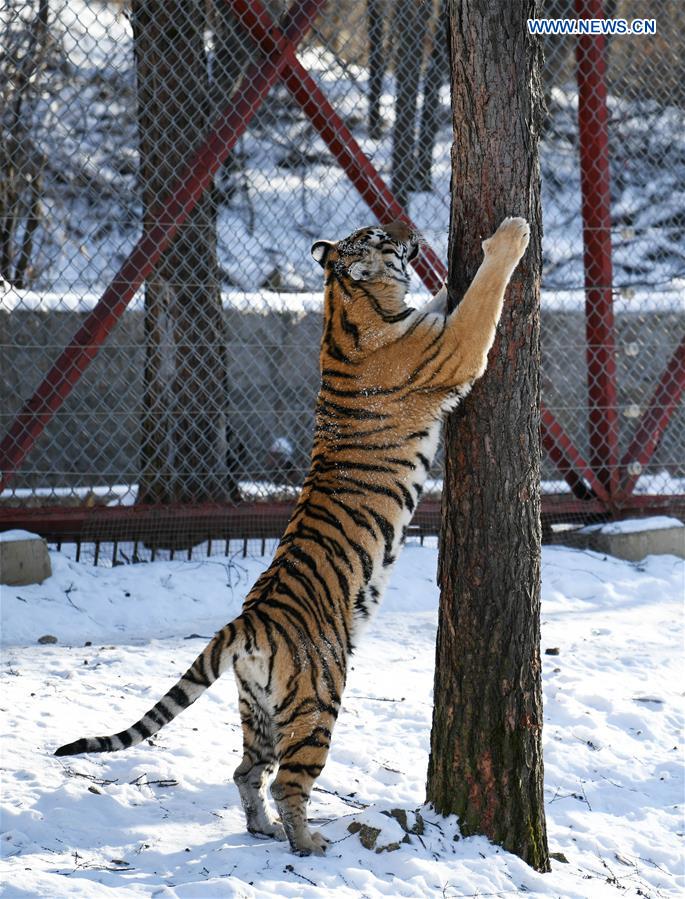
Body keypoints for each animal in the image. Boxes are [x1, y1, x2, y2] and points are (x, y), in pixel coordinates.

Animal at [56, 216, 532, 856]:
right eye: (380, 236)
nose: (409, 231)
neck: (346, 304)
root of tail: (245, 623)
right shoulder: (456, 347)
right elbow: (482, 293)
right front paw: (509, 236)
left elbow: (445, 298)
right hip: (317, 704)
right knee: (288, 780)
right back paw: (308, 843)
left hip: (255, 708)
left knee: (245, 771)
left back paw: (260, 828)